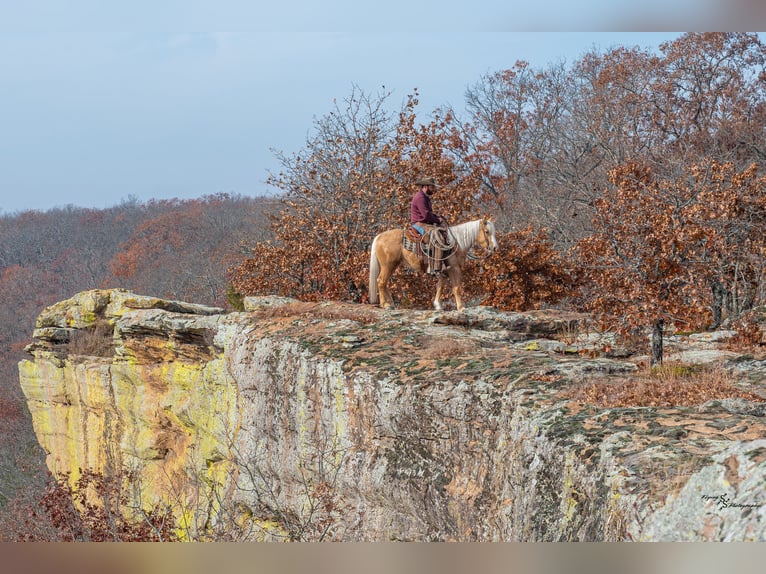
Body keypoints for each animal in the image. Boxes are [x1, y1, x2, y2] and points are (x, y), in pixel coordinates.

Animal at [368, 217, 498, 312]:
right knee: (381, 281)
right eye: (487, 232)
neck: (457, 243)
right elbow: (456, 288)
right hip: (388, 265)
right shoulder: (454, 269)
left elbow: (440, 286)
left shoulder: (443, 271)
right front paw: (461, 307)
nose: (495, 248)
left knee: (384, 282)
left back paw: (390, 303)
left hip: (392, 265)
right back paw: (385, 305)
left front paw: (438, 306)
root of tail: (379, 237)